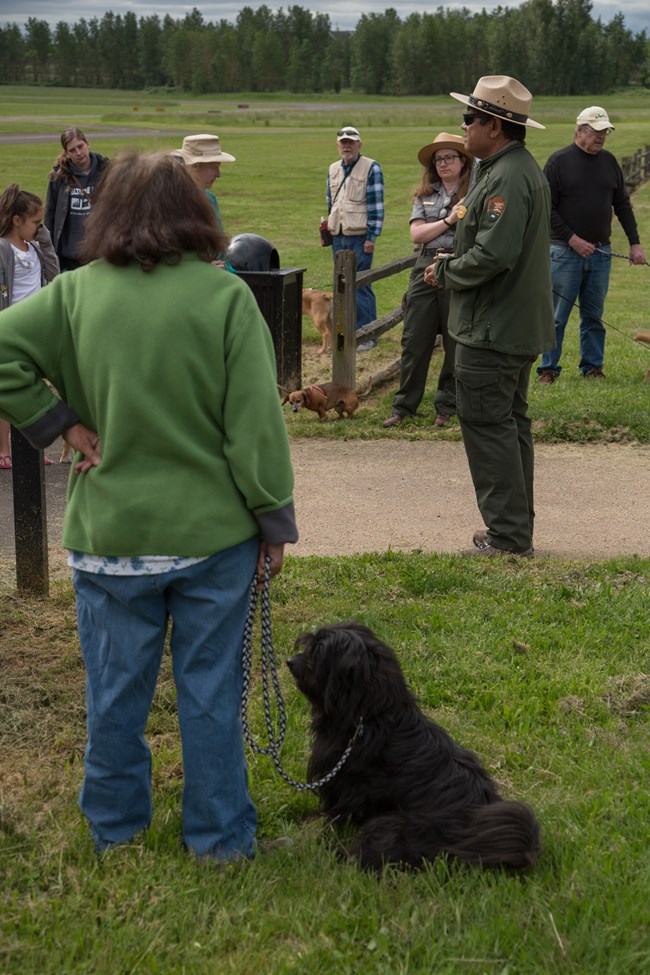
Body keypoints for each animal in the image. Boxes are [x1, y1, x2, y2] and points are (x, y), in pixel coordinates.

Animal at [286, 624, 540, 876]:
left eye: (316, 653)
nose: (290, 661)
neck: (370, 717)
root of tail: (471, 836)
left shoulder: (344, 785)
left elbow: (335, 814)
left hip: (391, 825)